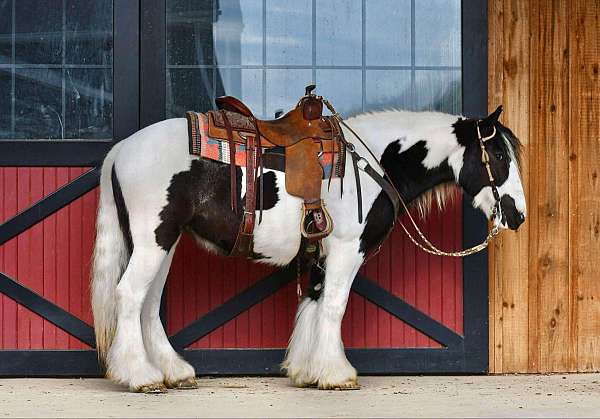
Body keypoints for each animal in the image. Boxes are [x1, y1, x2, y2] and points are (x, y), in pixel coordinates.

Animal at [89, 103, 524, 392]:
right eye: (498, 154)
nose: (517, 215)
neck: (372, 163)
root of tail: (121, 150)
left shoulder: (323, 254)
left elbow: (314, 302)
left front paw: (306, 369)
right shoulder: (348, 249)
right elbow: (334, 305)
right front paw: (337, 374)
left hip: (164, 241)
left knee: (147, 303)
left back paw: (172, 371)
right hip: (154, 239)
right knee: (129, 295)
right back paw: (140, 376)